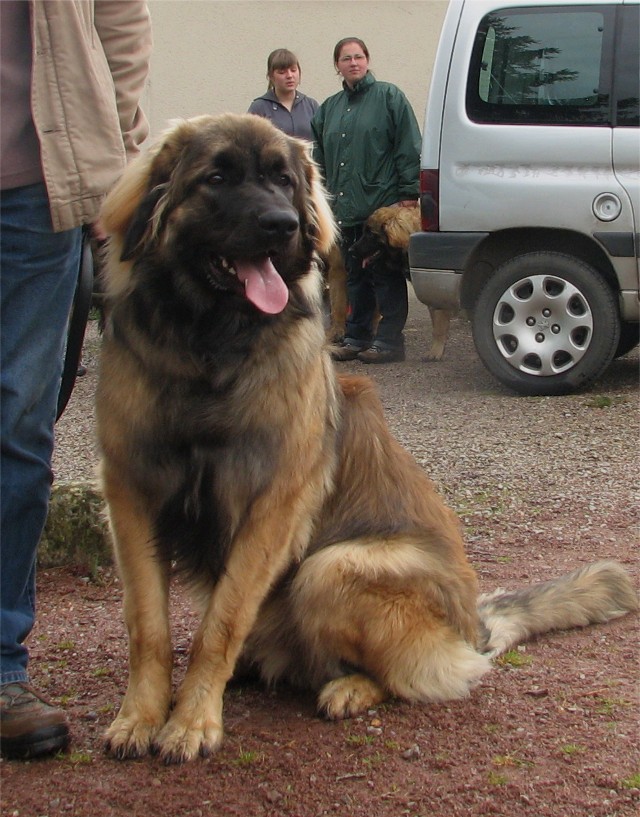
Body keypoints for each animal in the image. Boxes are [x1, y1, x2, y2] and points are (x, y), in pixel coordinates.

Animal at [94, 115, 636, 764]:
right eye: (217, 177)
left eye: (283, 179)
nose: (283, 225)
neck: (209, 347)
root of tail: (472, 625)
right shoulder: (132, 494)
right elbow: (147, 626)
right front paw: (140, 716)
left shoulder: (272, 506)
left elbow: (218, 626)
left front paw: (193, 720)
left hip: (329, 567)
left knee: (409, 673)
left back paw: (347, 687)